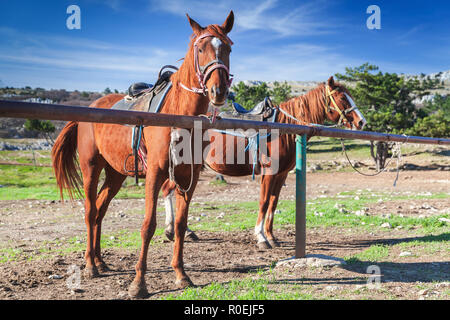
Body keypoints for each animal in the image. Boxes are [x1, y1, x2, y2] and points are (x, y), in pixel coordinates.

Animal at [51, 11, 236, 298]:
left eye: (227, 48)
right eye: (200, 48)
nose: (219, 91)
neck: (179, 116)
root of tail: (89, 109)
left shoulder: (189, 179)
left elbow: (180, 225)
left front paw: (181, 274)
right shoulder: (155, 174)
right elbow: (148, 226)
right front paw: (139, 283)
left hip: (115, 174)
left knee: (101, 209)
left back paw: (101, 262)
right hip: (91, 167)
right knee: (90, 211)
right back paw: (90, 264)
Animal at [161, 76, 366, 249]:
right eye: (342, 97)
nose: (361, 122)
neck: (283, 129)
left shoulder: (281, 174)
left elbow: (273, 203)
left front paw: (271, 236)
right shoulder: (268, 173)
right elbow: (264, 202)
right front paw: (261, 237)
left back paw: (181, 231)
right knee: (168, 190)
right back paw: (173, 230)